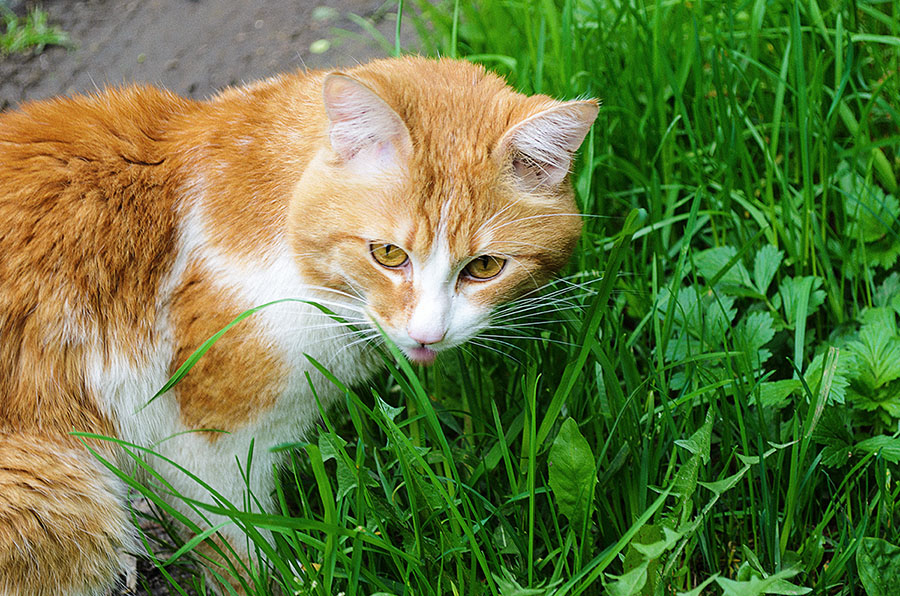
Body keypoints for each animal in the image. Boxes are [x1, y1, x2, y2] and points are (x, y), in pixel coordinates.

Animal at [0, 57, 596, 596]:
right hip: (67, 498)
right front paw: (287, 579)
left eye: (485, 267)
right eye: (387, 254)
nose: (429, 335)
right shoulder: (206, 446)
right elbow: (239, 542)